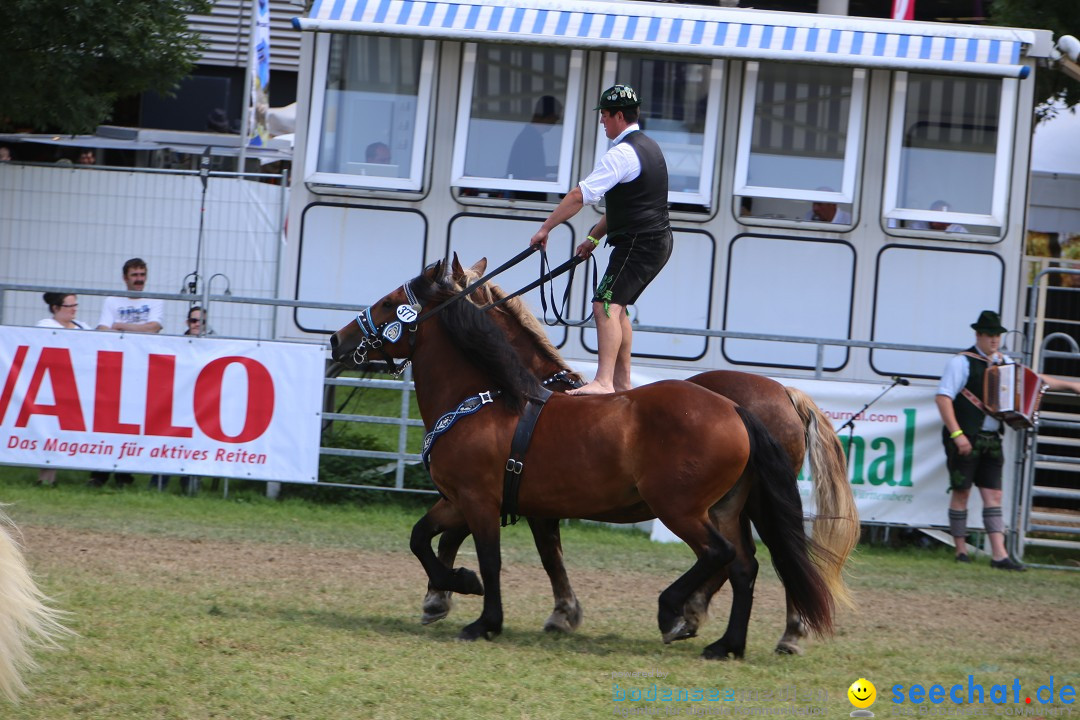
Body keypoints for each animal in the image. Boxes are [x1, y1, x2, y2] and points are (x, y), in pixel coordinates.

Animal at [328, 260, 833, 660]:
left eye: (391, 304)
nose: (336, 340)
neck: (487, 397)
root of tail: (737, 408)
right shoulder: (459, 500)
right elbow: (423, 539)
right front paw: (456, 586)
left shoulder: (480, 501)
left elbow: (491, 558)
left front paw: (484, 618)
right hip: (727, 507)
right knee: (745, 567)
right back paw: (727, 644)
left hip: (682, 509)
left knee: (720, 555)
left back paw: (677, 613)